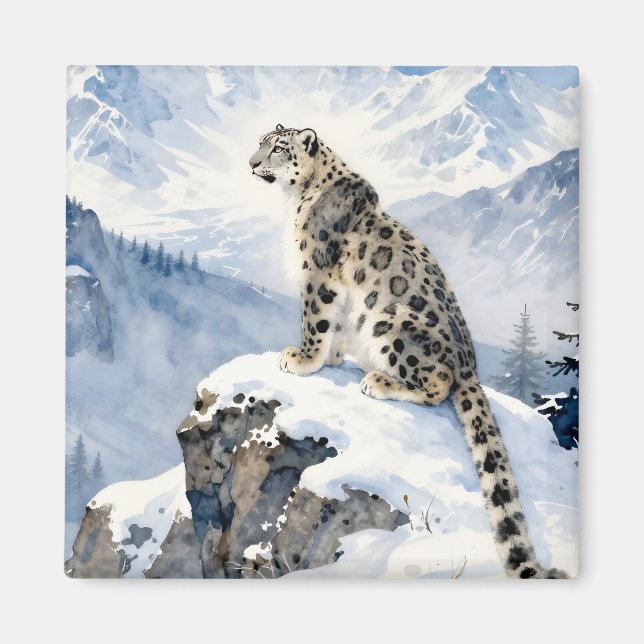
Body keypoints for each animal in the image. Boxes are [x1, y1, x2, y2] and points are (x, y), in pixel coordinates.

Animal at [249, 124, 567, 579]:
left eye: (277, 148)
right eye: (259, 143)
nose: (251, 163)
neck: (297, 197)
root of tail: (469, 364)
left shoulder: (318, 272)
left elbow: (315, 318)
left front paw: (303, 359)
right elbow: (337, 324)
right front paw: (330, 357)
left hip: (392, 324)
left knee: (438, 384)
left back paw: (379, 382)